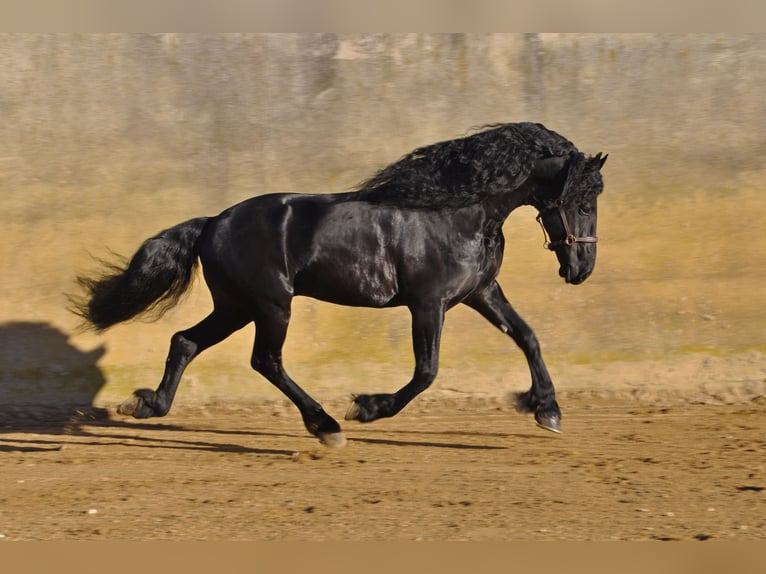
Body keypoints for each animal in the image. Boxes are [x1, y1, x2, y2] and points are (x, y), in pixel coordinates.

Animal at [71, 122, 607, 447]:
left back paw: (147, 405)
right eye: (582, 200)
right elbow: (427, 372)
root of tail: (212, 223)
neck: (459, 211)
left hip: (236, 307)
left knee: (185, 341)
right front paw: (366, 408)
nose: (581, 269)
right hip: (271, 305)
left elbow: (528, 337)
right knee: (265, 360)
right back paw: (326, 425)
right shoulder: (427, 303)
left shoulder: (480, 293)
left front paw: (547, 411)